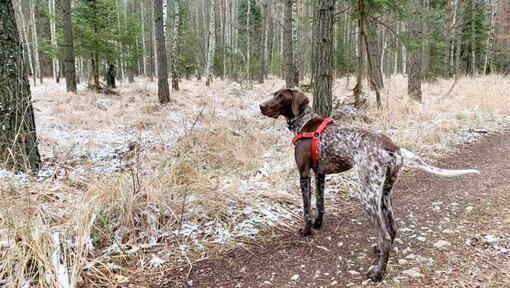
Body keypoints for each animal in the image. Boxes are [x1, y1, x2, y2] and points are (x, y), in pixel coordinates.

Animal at [260, 88, 480, 282]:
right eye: (274, 94)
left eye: (280, 96)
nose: (260, 106)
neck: (305, 121)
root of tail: (394, 148)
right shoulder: (319, 173)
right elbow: (320, 204)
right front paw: (318, 224)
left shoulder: (304, 173)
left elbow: (306, 208)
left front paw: (306, 230)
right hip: (384, 194)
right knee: (392, 229)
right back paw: (379, 252)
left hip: (367, 196)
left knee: (385, 236)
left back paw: (377, 273)